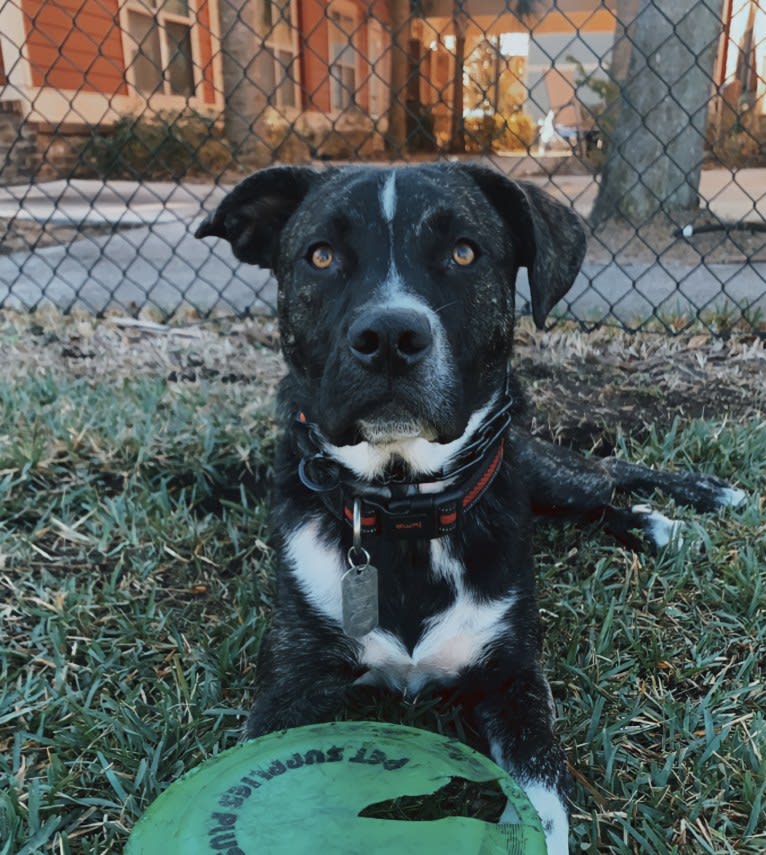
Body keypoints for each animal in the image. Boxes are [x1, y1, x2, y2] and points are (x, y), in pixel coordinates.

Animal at [196, 164, 744, 852]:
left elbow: (544, 801)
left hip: (541, 470)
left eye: (463, 253)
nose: (389, 338)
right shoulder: (291, 685)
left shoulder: (514, 680)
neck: (405, 512)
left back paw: (691, 506)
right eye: (320, 256)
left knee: (609, 475)